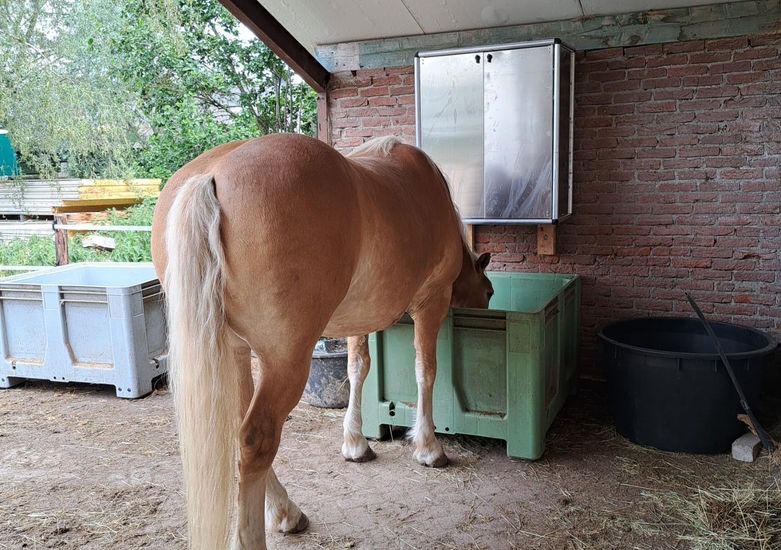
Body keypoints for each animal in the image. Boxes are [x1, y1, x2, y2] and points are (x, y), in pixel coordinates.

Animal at [150, 133, 493, 549]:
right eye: (488, 293)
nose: (489, 301)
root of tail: (209, 176)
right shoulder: (432, 302)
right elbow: (425, 371)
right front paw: (428, 447)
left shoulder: (361, 317)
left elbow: (358, 368)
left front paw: (355, 443)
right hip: (284, 361)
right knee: (255, 439)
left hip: (235, 353)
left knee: (239, 429)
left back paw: (286, 511)